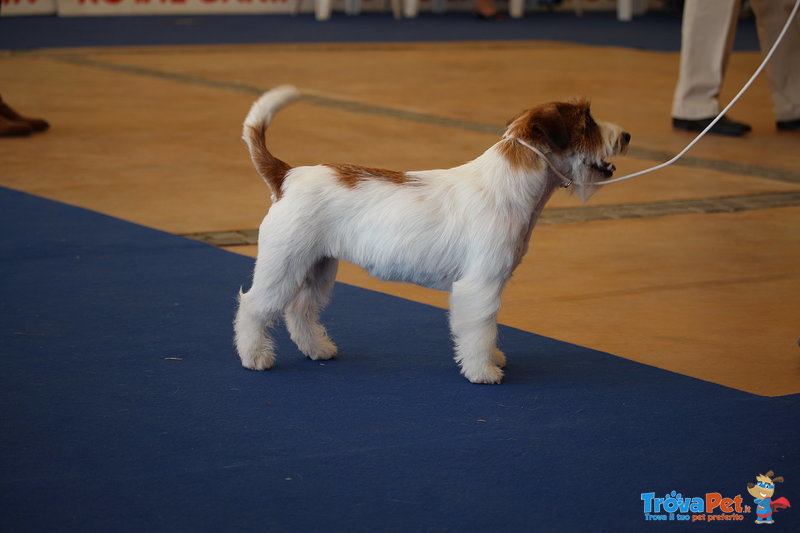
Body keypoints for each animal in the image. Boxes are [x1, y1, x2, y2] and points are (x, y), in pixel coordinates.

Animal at [234, 85, 628, 382]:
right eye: (588, 121)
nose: (626, 135)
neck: (509, 184)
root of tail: (287, 175)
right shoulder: (480, 284)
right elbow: (480, 328)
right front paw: (483, 370)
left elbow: (488, 328)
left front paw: (492, 358)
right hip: (283, 264)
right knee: (253, 307)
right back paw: (255, 356)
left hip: (318, 267)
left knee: (299, 311)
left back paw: (318, 349)